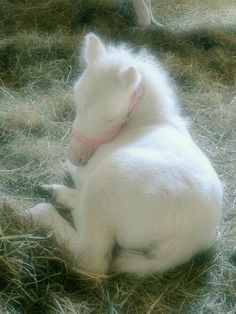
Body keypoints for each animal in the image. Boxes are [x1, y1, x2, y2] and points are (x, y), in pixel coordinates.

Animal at [28, 33, 222, 276]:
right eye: (76, 99)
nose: (76, 156)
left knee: (91, 256)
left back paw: (43, 209)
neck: (144, 122)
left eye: (110, 118)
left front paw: (68, 168)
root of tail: (187, 240)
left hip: (105, 183)